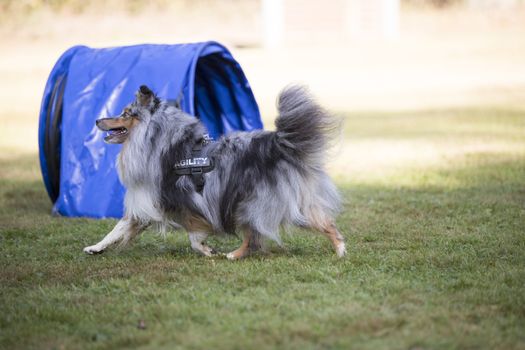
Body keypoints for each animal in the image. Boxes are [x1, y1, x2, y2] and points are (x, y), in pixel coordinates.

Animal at [83, 85, 344, 260]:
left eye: (126, 113)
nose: (97, 120)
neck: (156, 138)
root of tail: (277, 143)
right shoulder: (155, 203)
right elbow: (118, 229)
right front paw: (95, 248)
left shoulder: (169, 201)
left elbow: (192, 236)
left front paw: (208, 250)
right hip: (285, 202)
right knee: (324, 222)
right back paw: (340, 249)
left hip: (248, 203)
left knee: (253, 234)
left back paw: (234, 254)